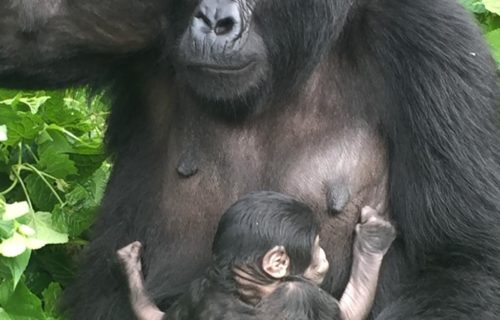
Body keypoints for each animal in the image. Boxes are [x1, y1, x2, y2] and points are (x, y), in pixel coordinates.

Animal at [117, 191, 394, 318]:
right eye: (316, 245)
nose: (323, 254)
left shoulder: (198, 291)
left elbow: (156, 316)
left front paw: (128, 263)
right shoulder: (302, 295)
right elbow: (350, 312)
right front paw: (373, 240)